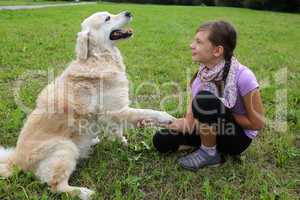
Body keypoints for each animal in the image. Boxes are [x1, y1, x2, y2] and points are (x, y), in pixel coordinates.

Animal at [0, 11, 176, 199]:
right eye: (107, 18)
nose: (129, 12)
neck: (99, 57)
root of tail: (16, 161)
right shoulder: (117, 110)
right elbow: (148, 111)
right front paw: (168, 118)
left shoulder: (114, 112)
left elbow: (118, 129)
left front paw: (122, 141)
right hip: (66, 148)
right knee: (56, 186)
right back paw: (84, 192)